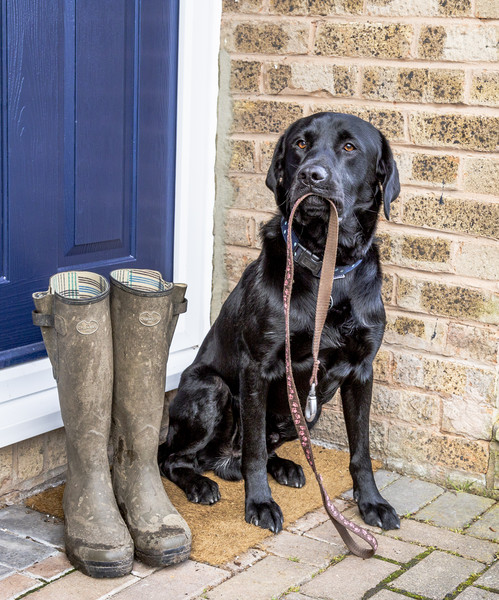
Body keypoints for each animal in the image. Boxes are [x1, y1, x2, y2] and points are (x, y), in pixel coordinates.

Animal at [160, 112, 402, 536]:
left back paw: (286, 466)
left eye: (350, 147)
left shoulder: (361, 371)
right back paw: (200, 483)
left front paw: (371, 502)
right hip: (212, 389)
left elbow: (361, 450)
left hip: (305, 412)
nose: (312, 176)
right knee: (178, 459)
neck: (327, 266)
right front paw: (259, 504)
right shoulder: (258, 366)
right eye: (300, 144)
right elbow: (254, 451)